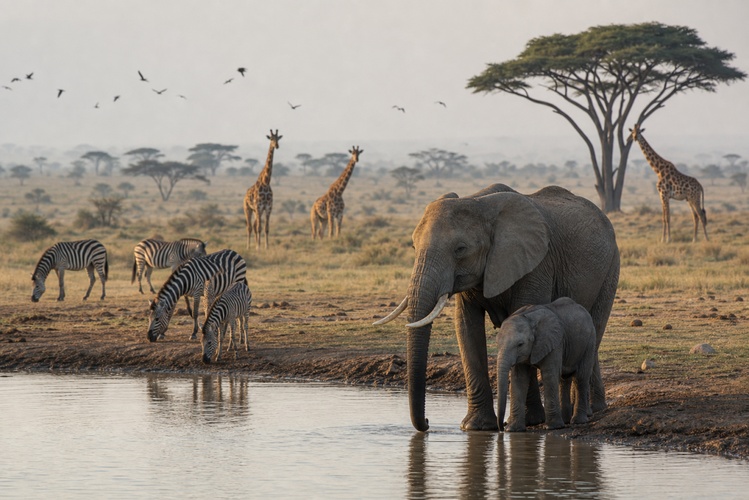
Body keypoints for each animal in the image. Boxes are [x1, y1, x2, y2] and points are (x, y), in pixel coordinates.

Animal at [497, 297, 596, 432]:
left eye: (520, 344)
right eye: (497, 343)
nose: (501, 428)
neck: (529, 317)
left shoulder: (555, 342)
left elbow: (549, 375)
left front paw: (552, 427)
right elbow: (519, 379)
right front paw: (513, 429)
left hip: (589, 342)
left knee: (580, 377)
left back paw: (577, 421)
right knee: (564, 379)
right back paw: (565, 420)